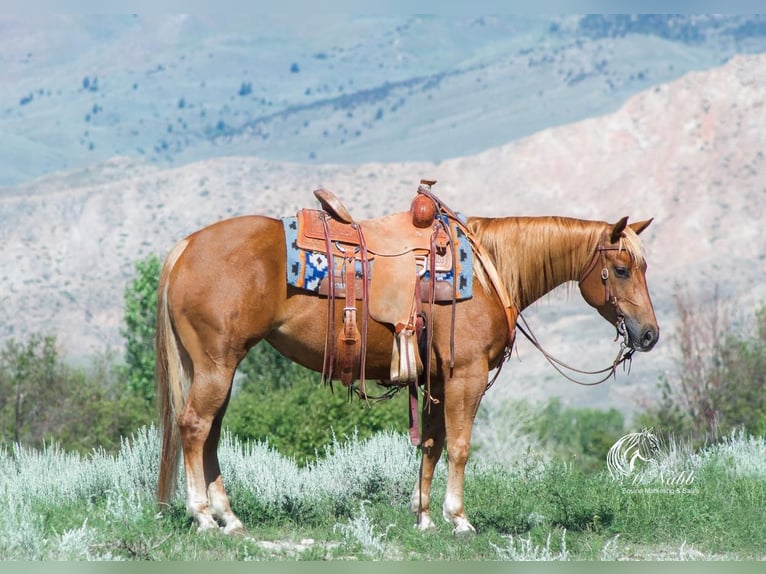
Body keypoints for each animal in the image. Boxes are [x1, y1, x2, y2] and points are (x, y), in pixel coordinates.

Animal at [156, 197, 660, 536]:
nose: (649, 335)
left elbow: (432, 445)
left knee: (211, 433)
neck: (488, 270)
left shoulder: (436, 378)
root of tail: (185, 246)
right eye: (621, 270)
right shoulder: (466, 375)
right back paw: (203, 516)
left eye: (644, 267)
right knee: (196, 426)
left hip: (216, 367)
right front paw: (459, 519)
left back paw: (230, 518)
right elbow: (460, 447)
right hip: (217, 365)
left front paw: (423, 518)